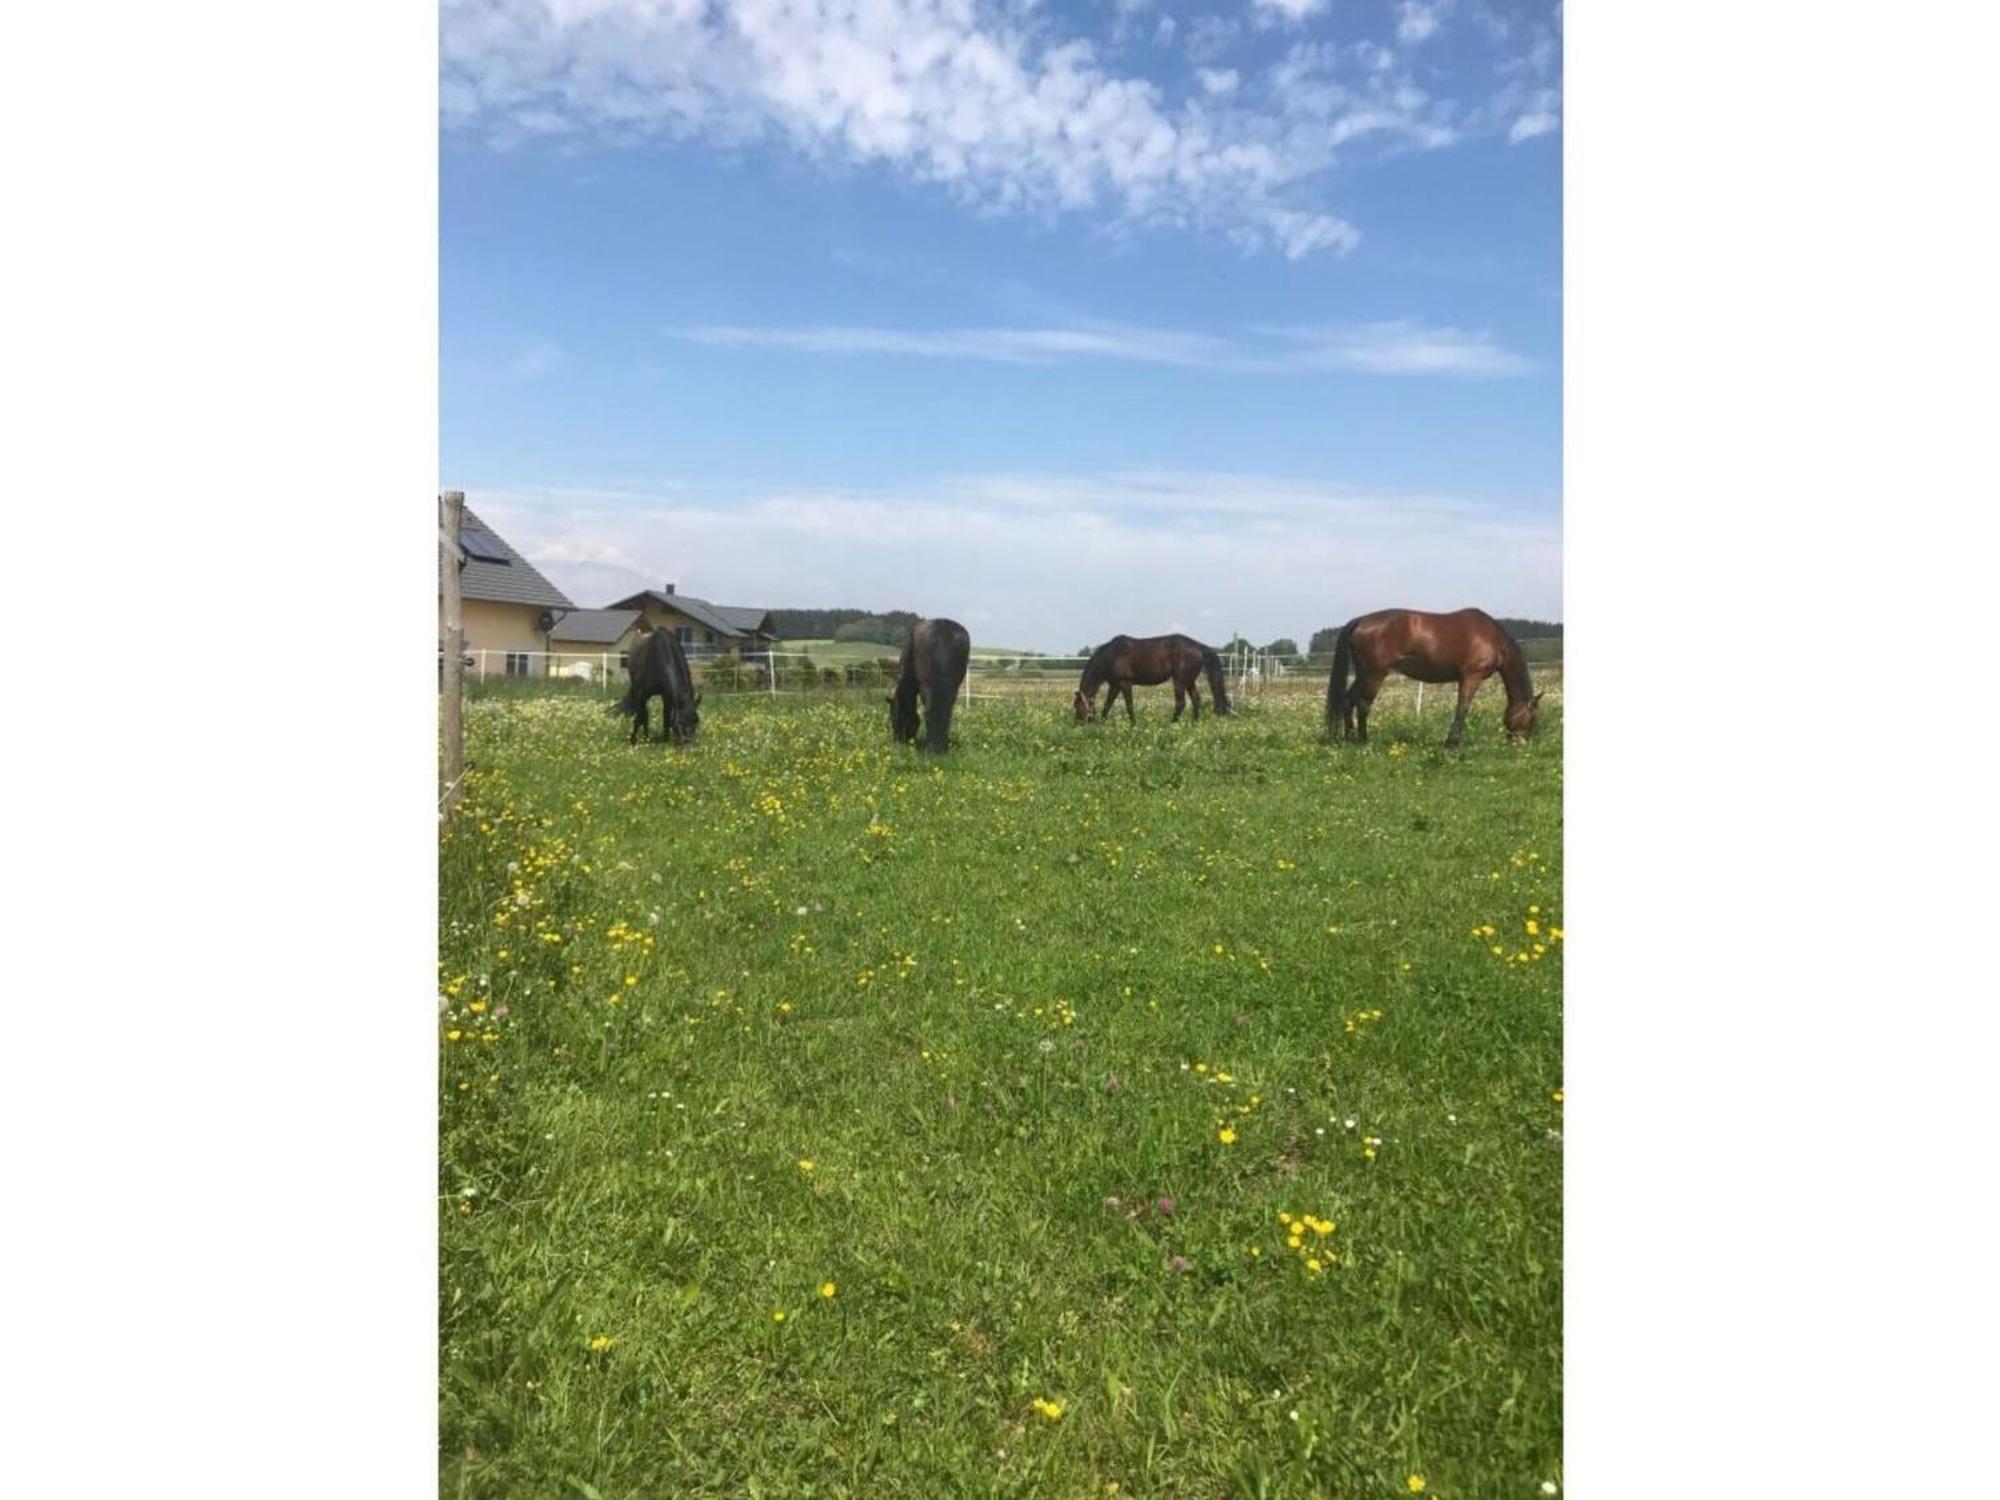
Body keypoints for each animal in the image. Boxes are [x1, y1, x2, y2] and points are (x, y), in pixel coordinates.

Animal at [1072, 636, 1224, 728]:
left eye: (1077, 706)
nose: (1078, 724)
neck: (1112, 656)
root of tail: (1199, 647)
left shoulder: (1125, 683)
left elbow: (1129, 706)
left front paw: (1133, 725)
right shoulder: (1115, 685)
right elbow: (1107, 705)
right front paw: (1102, 723)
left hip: (1179, 680)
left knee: (1181, 703)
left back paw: (1171, 725)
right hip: (1189, 681)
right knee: (1196, 699)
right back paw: (1194, 724)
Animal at [1328, 608, 1544, 748]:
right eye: (1532, 718)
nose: (1524, 742)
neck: (1493, 638)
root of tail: (1361, 621)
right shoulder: (1472, 677)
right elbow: (1462, 708)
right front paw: (1452, 743)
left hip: (1363, 675)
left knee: (1348, 700)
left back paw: (1350, 738)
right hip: (1374, 674)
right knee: (1363, 705)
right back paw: (1364, 741)